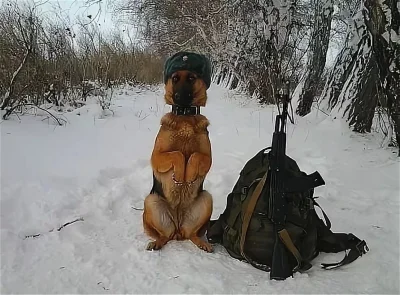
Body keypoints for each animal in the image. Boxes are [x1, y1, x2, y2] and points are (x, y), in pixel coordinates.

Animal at [142, 52, 214, 253]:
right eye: (174, 79)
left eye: (191, 78)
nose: (178, 96)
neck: (185, 117)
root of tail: (178, 228)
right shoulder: (156, 157)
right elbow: (178, 154)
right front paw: (180, 176)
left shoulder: (208, 158)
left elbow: (195, 155)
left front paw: (187, 175)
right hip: (151, 201)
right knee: (164, 236)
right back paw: (157, 243)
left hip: (207, 199)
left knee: (192, 234)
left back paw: (202, 243)